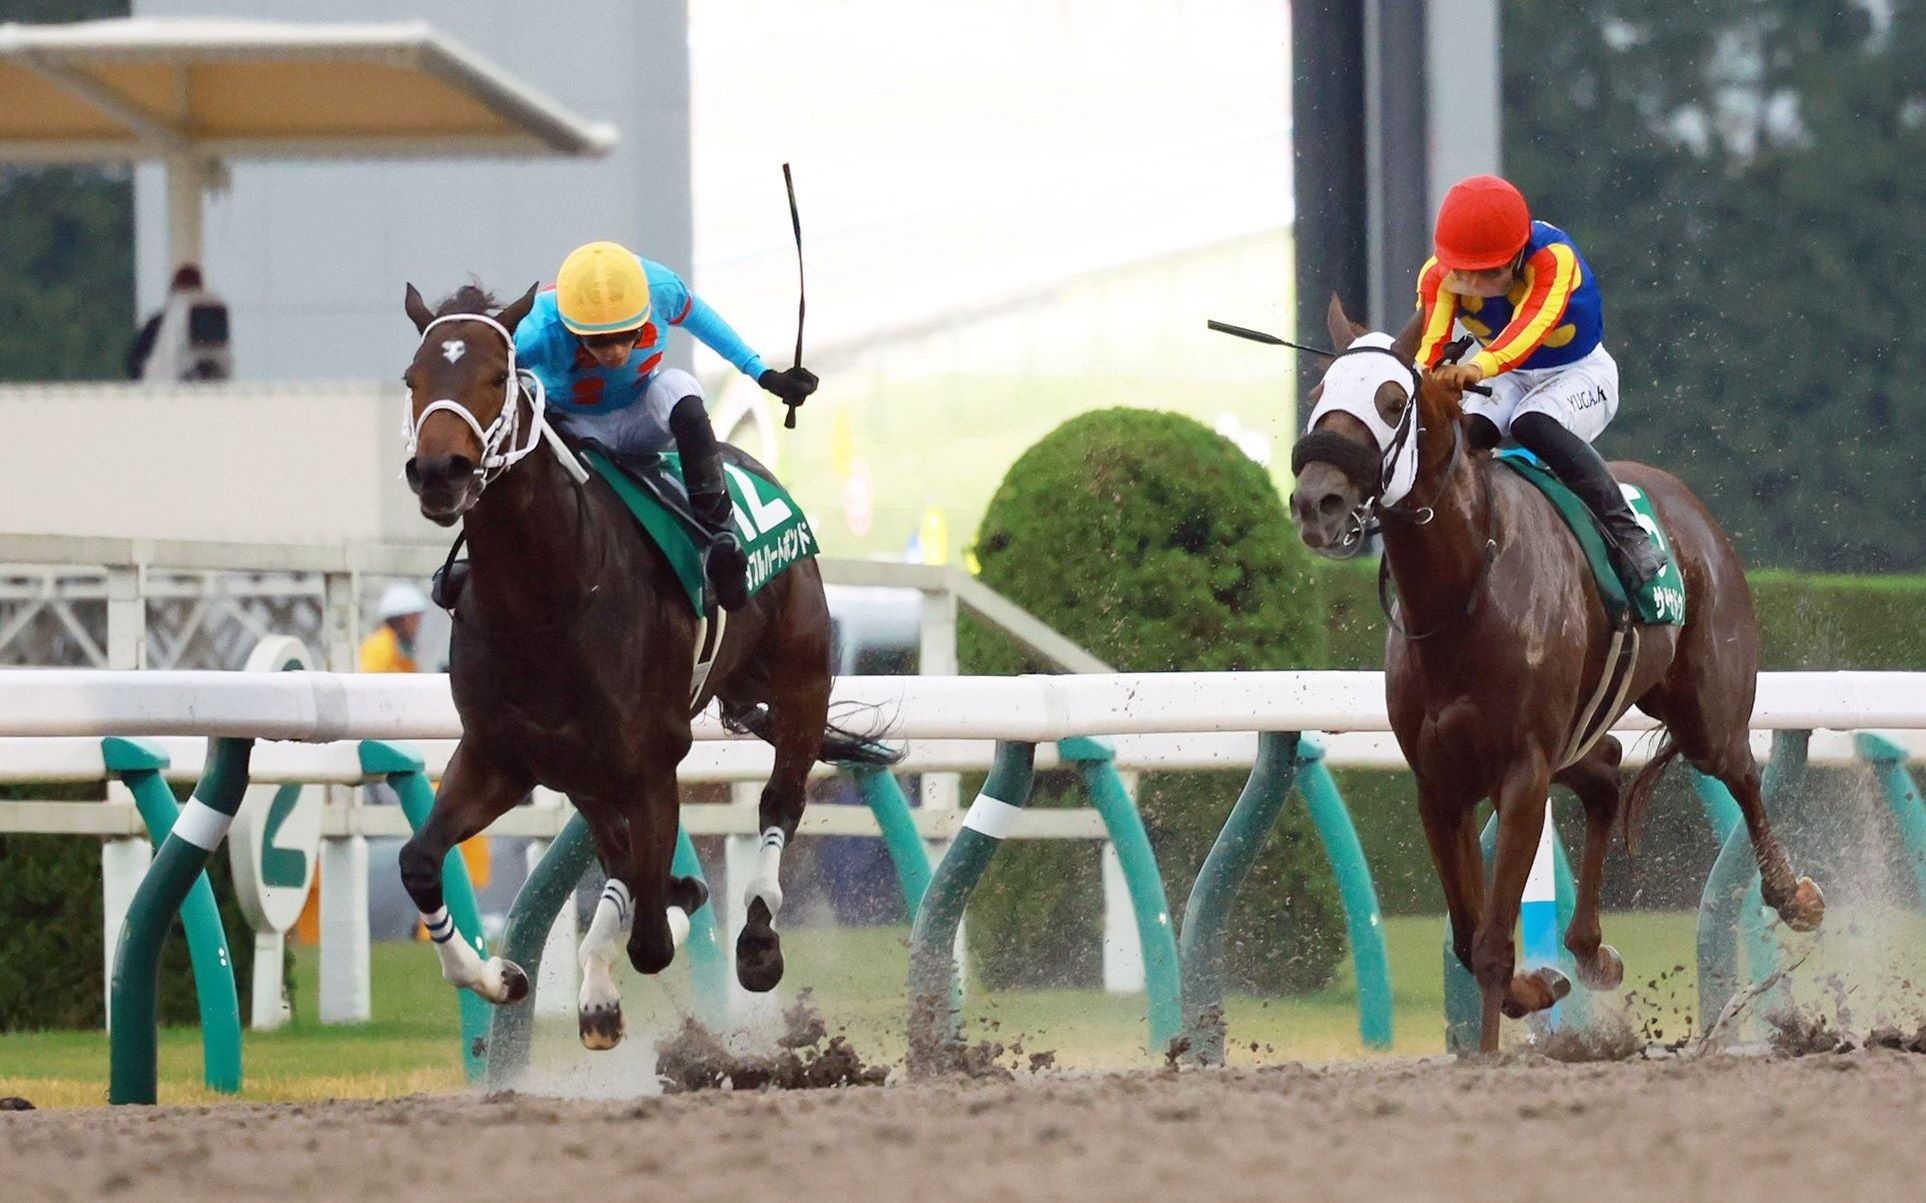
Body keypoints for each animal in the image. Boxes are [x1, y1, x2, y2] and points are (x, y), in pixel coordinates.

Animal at [396, 281, 895, 1050]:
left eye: (496, 378)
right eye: (412, 378)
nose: (438, 473)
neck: (544, 600)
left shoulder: (651, 763)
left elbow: (655, 934)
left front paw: (674, 923)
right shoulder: (499, 755)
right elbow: (421, 861)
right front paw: (500, 975)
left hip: (801, 681)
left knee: (778, 801)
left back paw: (755, 938)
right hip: (583, 770)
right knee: (619, 854)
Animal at [1288, 296, 1825, 1053]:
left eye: (1392, 403)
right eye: (1319, 398)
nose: (1318, 503)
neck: (1465, 591)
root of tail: (1686, 505)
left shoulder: (1521, 772)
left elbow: (1489, 943)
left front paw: (1493, 1047)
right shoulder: (1440, 782)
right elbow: (1466, 936)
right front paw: (1539, 987)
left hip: (1706, 708)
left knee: (1741, 771)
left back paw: (1793, 895)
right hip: (1579, 730)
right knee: (1605, 773)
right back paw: (1591, 950)